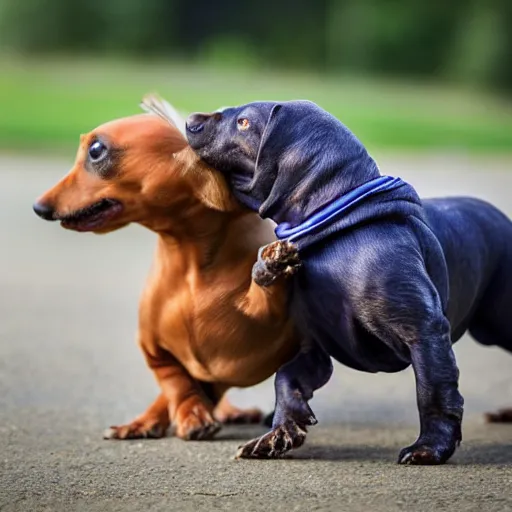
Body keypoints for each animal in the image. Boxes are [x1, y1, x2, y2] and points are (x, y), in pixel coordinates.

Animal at [186, 100, 510, 464]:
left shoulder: (424, 332)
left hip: (499, 320)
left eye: (243, 122)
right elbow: (285, 379)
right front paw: (280, 433)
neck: (332, 229)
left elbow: (433, 390)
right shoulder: (314, 346)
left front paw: (430, 447)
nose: (190, 120)